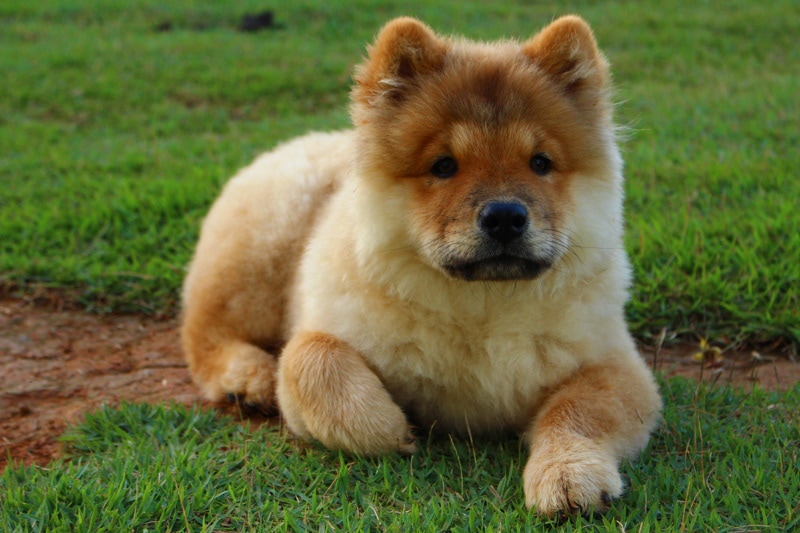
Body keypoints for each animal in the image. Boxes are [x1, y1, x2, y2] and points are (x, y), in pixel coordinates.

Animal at [181, 17, 664, 516]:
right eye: (444, 166)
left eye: (540, 163)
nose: (505, 216)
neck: (482, 308)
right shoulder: (325, 334)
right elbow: (310, 358)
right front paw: (392, 430)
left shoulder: (615, 365)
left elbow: (577, 413)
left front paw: (568, 476)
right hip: (258, 255)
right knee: (206, 333)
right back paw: (248, 379)